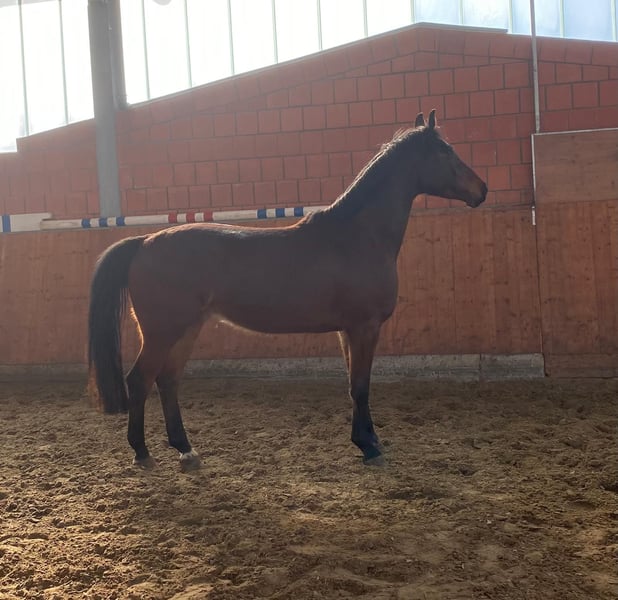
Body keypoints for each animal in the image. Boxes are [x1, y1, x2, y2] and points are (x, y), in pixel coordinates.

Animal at [87, 110, 487, 471]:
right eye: (446, 151)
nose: (482, 189)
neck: (357, 236)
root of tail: (144, 242)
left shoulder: (347, 331)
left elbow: (353, 385)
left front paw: (368, 439)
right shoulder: (365, 327)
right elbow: (361, 386)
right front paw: (369, 447)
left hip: (187, 329)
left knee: (167, 380)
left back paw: (186, 450)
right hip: (163, 332)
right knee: (140, 380)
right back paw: (142, 453)